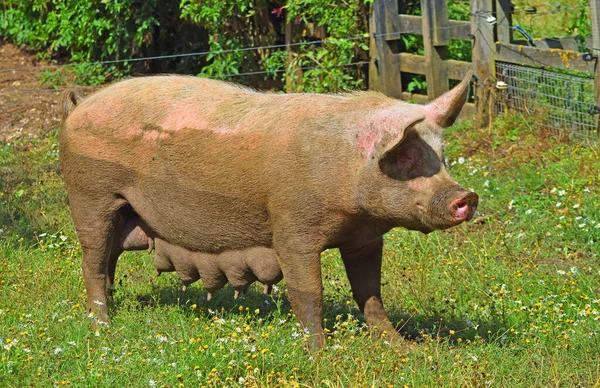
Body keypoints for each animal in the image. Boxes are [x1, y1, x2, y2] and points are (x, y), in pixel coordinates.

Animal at [59, 71, 478, 350]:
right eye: (407, 156)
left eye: (441, 155)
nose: (467, 197)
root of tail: (80, 106)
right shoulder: (292, 228)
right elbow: (308, 292)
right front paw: (321, 355)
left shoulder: (364, 239)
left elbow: (370, 292)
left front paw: (403, 348)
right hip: (91, 195)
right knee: (92, 260)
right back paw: (101, 327)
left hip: (123, 211)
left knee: (109, 261)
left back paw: (110, 311)